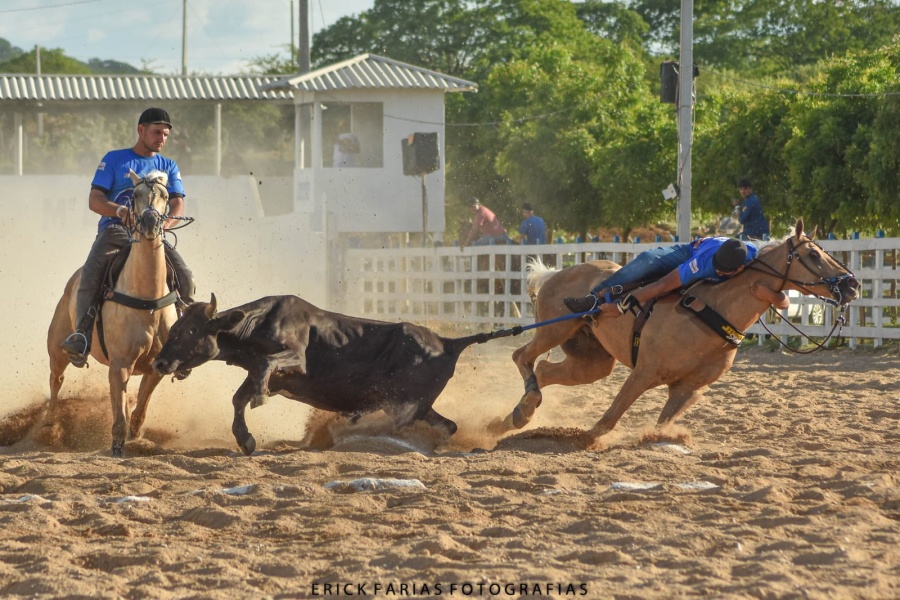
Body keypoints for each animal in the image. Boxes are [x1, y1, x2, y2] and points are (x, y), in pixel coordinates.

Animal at [47, 169, 179, 454]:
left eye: (165, 195)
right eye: (136, 194)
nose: (150, 221)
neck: (147, 300)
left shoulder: (156, 367)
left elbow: (139, 408)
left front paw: (136, 436)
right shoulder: (119, 365)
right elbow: (119, 416)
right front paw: (118, 447)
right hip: (57, 348)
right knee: (56, 380)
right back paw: (49, 427)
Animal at [152, 296, 502, 454]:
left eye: (191, 330)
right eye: (175, 327)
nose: (160, 363)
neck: (256, 325)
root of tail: (448, 343)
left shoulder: (295, 358)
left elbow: (263, 370)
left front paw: (260, 401)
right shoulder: (260, 372)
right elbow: (240, 397)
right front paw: (245, 438)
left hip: (403, 404)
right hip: (420, 406)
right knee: (447, 425)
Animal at [496, 218, 860, 442]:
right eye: (813, 254)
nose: (852, 284)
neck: (713, 311)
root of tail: (552, 274)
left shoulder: (688, 389)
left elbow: (660, 424)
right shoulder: (643, 373)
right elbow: (606, 422)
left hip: (592, 361)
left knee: (543, 370)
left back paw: (516, 416)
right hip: (555, 329)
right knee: (521, 356)